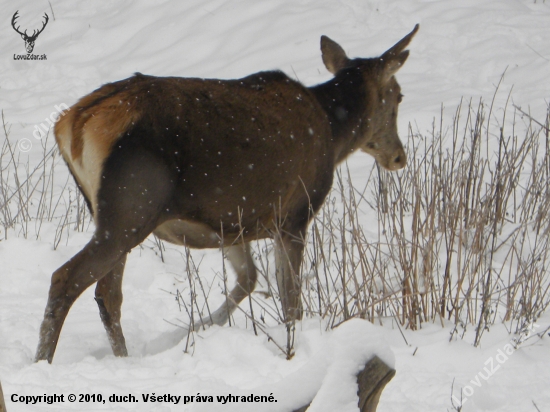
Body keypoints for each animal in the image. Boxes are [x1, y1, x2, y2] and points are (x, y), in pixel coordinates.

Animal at [34, 24, 420, 362]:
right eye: (399, 95)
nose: (399, 156)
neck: (334, 132)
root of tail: (73, 122)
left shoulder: (233, 223)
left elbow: (248, 279)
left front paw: (195, 330)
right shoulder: (294, 214)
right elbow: (290, 299)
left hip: (111, 213)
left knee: (107, 295)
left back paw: (122, 359)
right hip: (132, 204)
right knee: (65, 279)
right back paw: (43, 361)